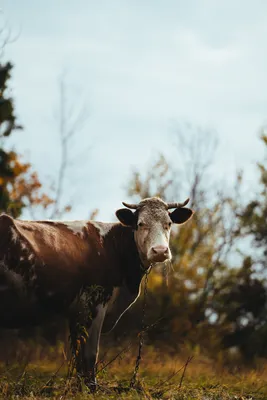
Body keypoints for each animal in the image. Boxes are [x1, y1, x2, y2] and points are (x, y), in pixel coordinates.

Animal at [0, 198, 194, 390]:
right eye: (140, 224)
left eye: (169, 223)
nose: (160, 251)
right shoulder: (95, 304)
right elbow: (90, 353)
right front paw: (91, 387)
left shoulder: (77, 312)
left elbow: (78, 353)